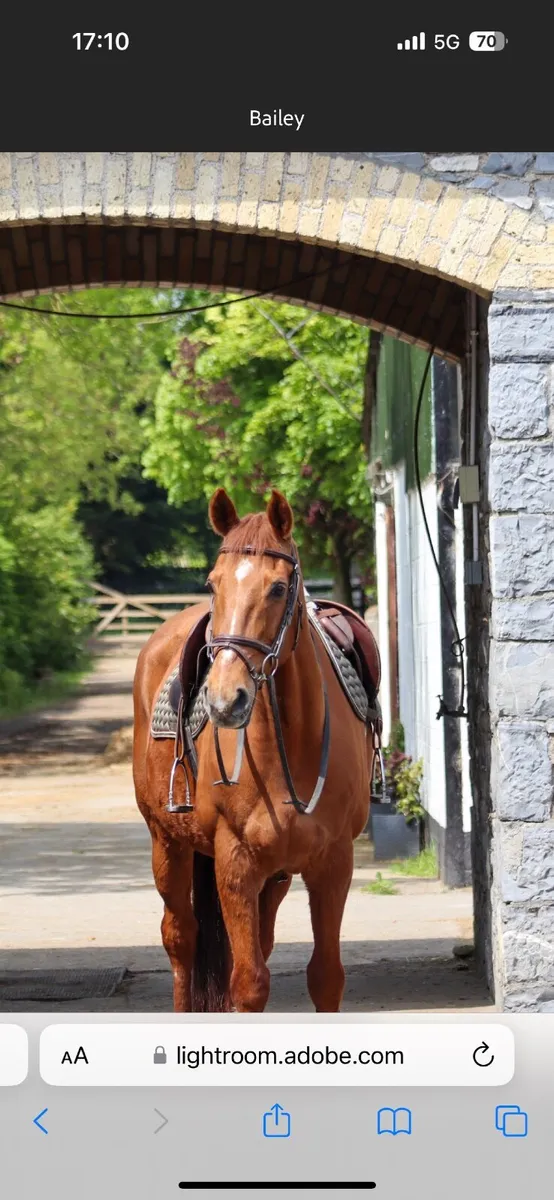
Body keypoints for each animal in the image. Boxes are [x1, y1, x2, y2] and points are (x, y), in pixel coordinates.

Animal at [132, 487, 380, 1013]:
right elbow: (247, 984)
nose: (227, 699)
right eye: (213, 583)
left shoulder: (333, 864)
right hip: (167, 843)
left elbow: (325, 977)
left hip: (277, 877)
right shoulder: (236, 862)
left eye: (279, 589)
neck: (290, 744)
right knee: (180, 937)